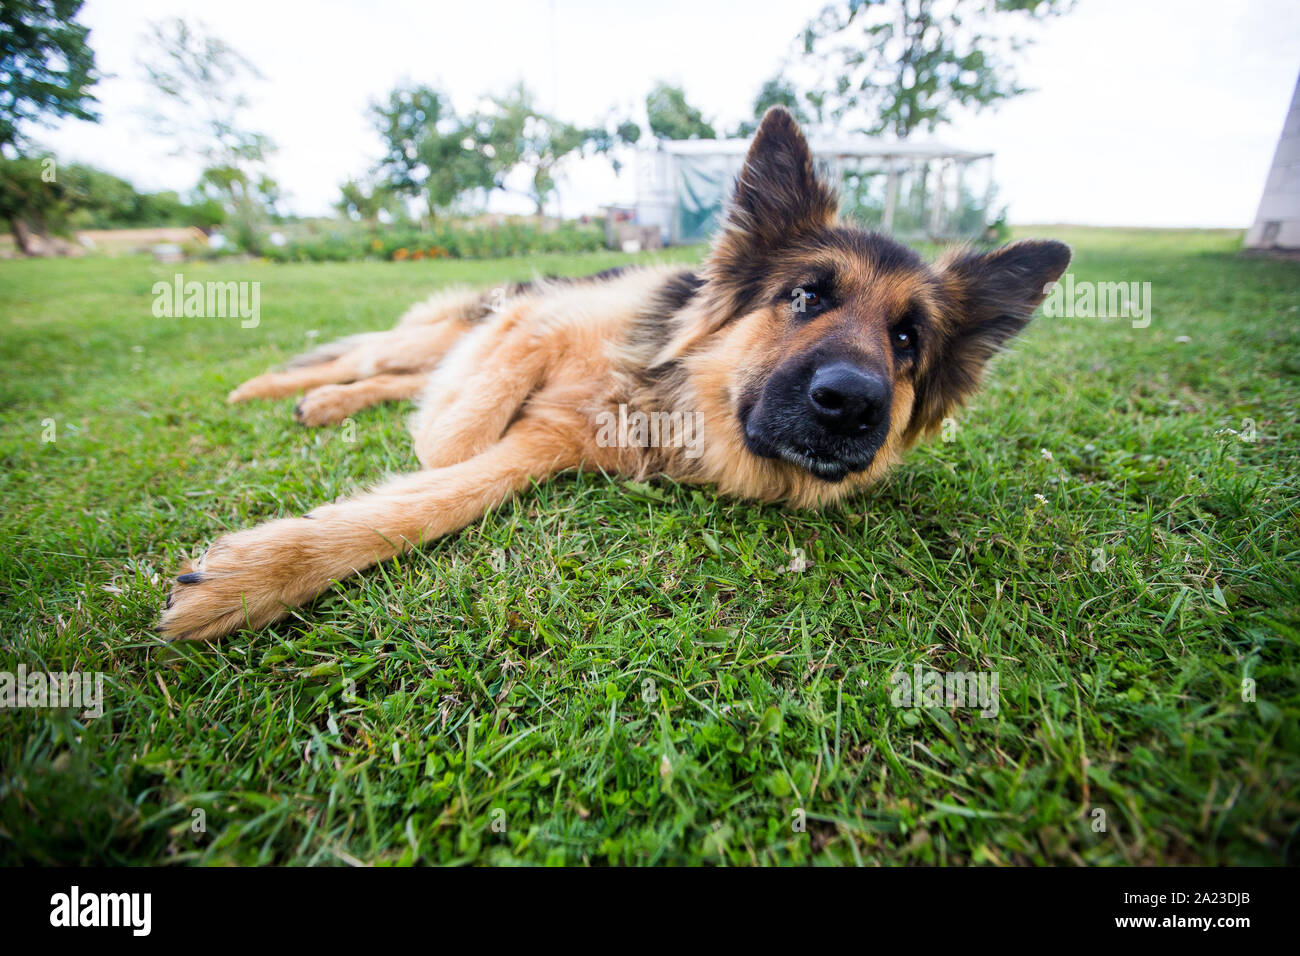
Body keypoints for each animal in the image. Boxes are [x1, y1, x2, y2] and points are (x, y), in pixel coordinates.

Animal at [157, 108, 1071, 639]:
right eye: (807, 295)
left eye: (909, 341)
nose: (851, 403)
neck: (667, 392)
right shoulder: (542, 320)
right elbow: (459, 433)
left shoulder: (547, 448)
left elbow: (448, 490)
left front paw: (256, 575)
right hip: (444, 327)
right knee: (377, 353)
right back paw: (275, 390)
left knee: (391, 373)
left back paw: (324, 404)